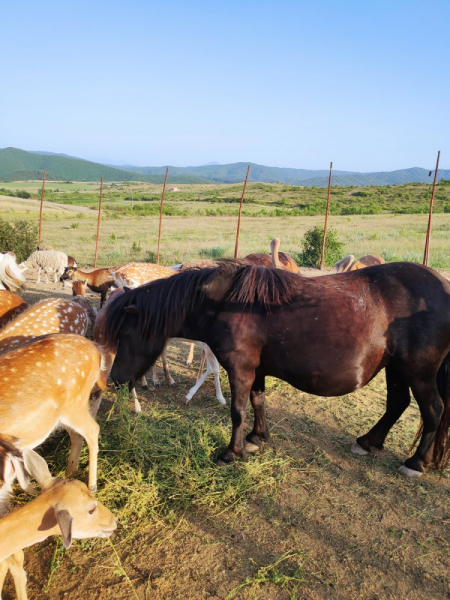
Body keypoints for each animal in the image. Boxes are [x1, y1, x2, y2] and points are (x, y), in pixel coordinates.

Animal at [100, 262, 450, 478]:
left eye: (126, 334)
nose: (115, 379)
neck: (227, 303)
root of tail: (442, 286)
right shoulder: (257, 370)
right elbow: (258, 402)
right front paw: (257, 438)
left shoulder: (240, 368)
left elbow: (238, 410)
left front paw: (231, 452)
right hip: (397, 369)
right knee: (397, 405)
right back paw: (367, 442)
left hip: (418, 370)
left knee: (433, 409)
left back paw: (414, 463)